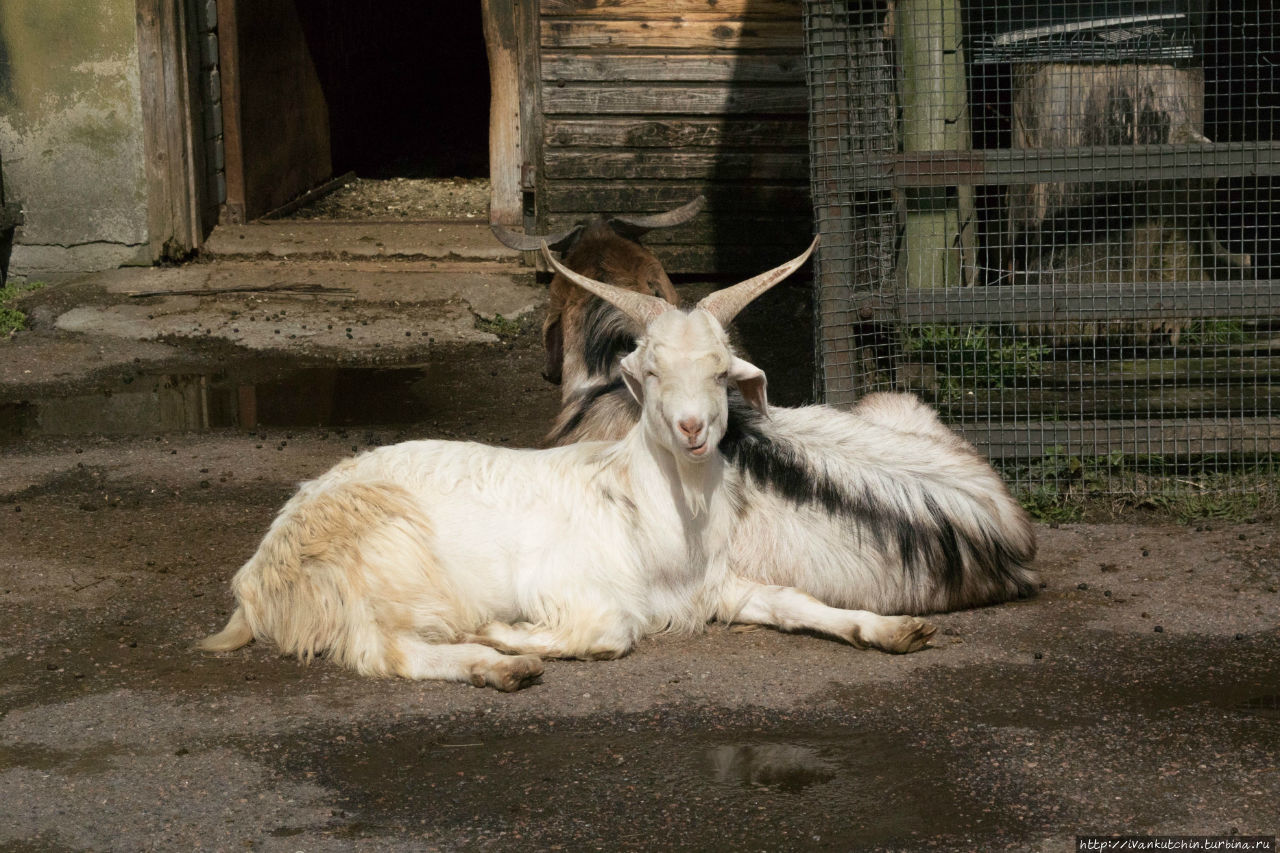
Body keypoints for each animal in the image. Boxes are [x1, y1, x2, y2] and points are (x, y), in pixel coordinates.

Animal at [194, 235, 936, 686]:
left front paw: (898, 630)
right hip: (387, 570)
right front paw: (508, 634)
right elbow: (609, 633)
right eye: (650, 369)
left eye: (722, 369)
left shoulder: (714, 587)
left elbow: (794, 601)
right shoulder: (571, 585)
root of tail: (259, 576)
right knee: (385, 650)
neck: (645, 513)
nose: (693, 428)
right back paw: (500, 668)